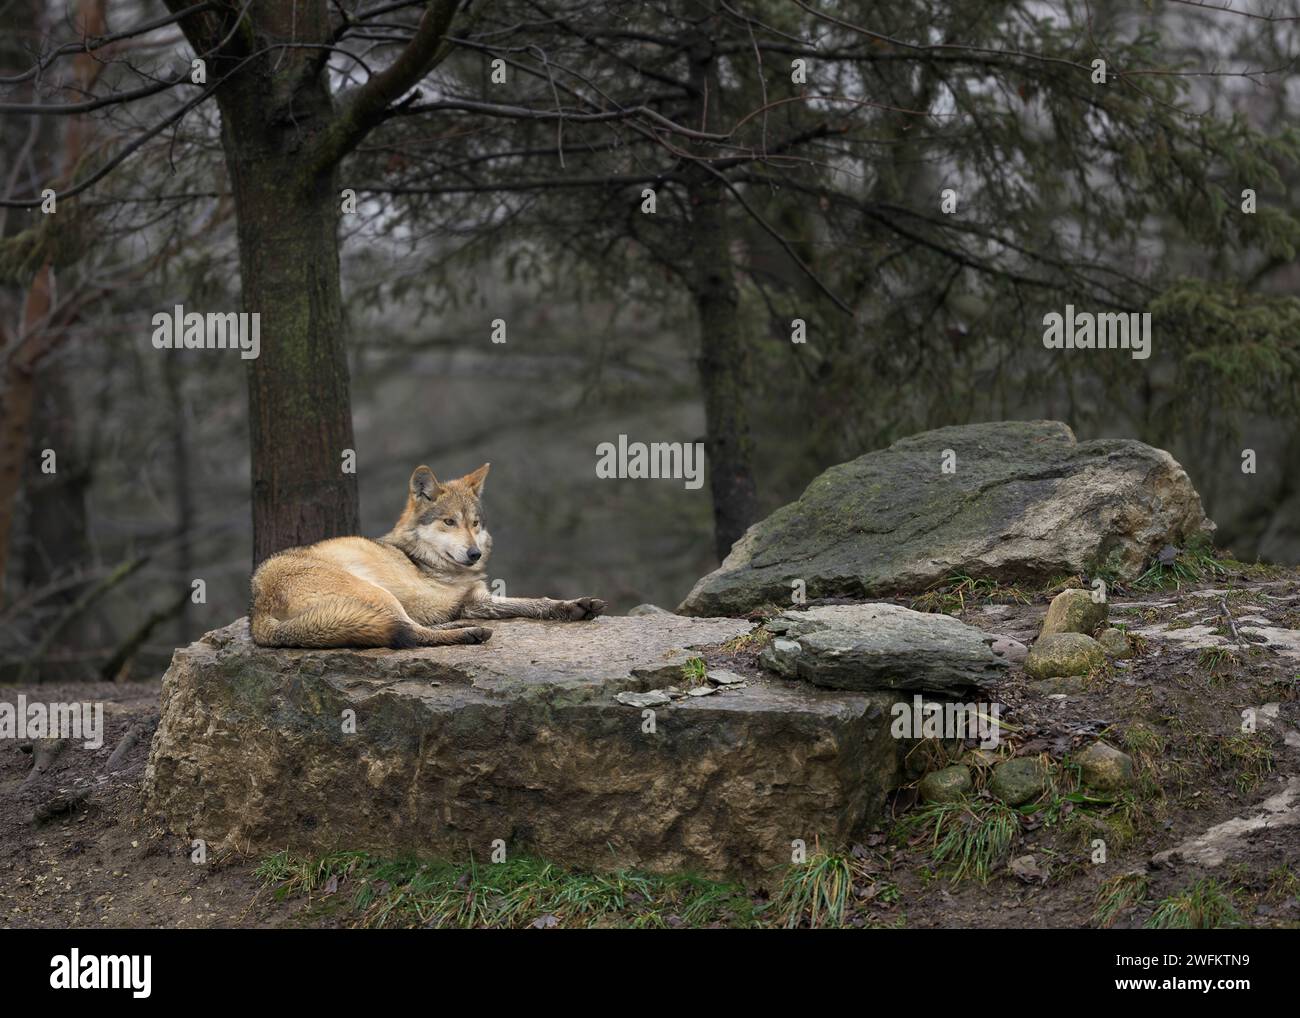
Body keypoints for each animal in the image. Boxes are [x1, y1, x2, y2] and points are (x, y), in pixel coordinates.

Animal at [249, 463, 605, 648]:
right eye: (449, 522)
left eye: (474, 523)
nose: (474, 553)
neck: (422, 559)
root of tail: (258, 609)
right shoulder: (449, 600)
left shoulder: (476, 599)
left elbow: (536, 603)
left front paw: (575, 606)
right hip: (378, 593)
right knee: (406, 631)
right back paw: (469, 633)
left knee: (408, 626)